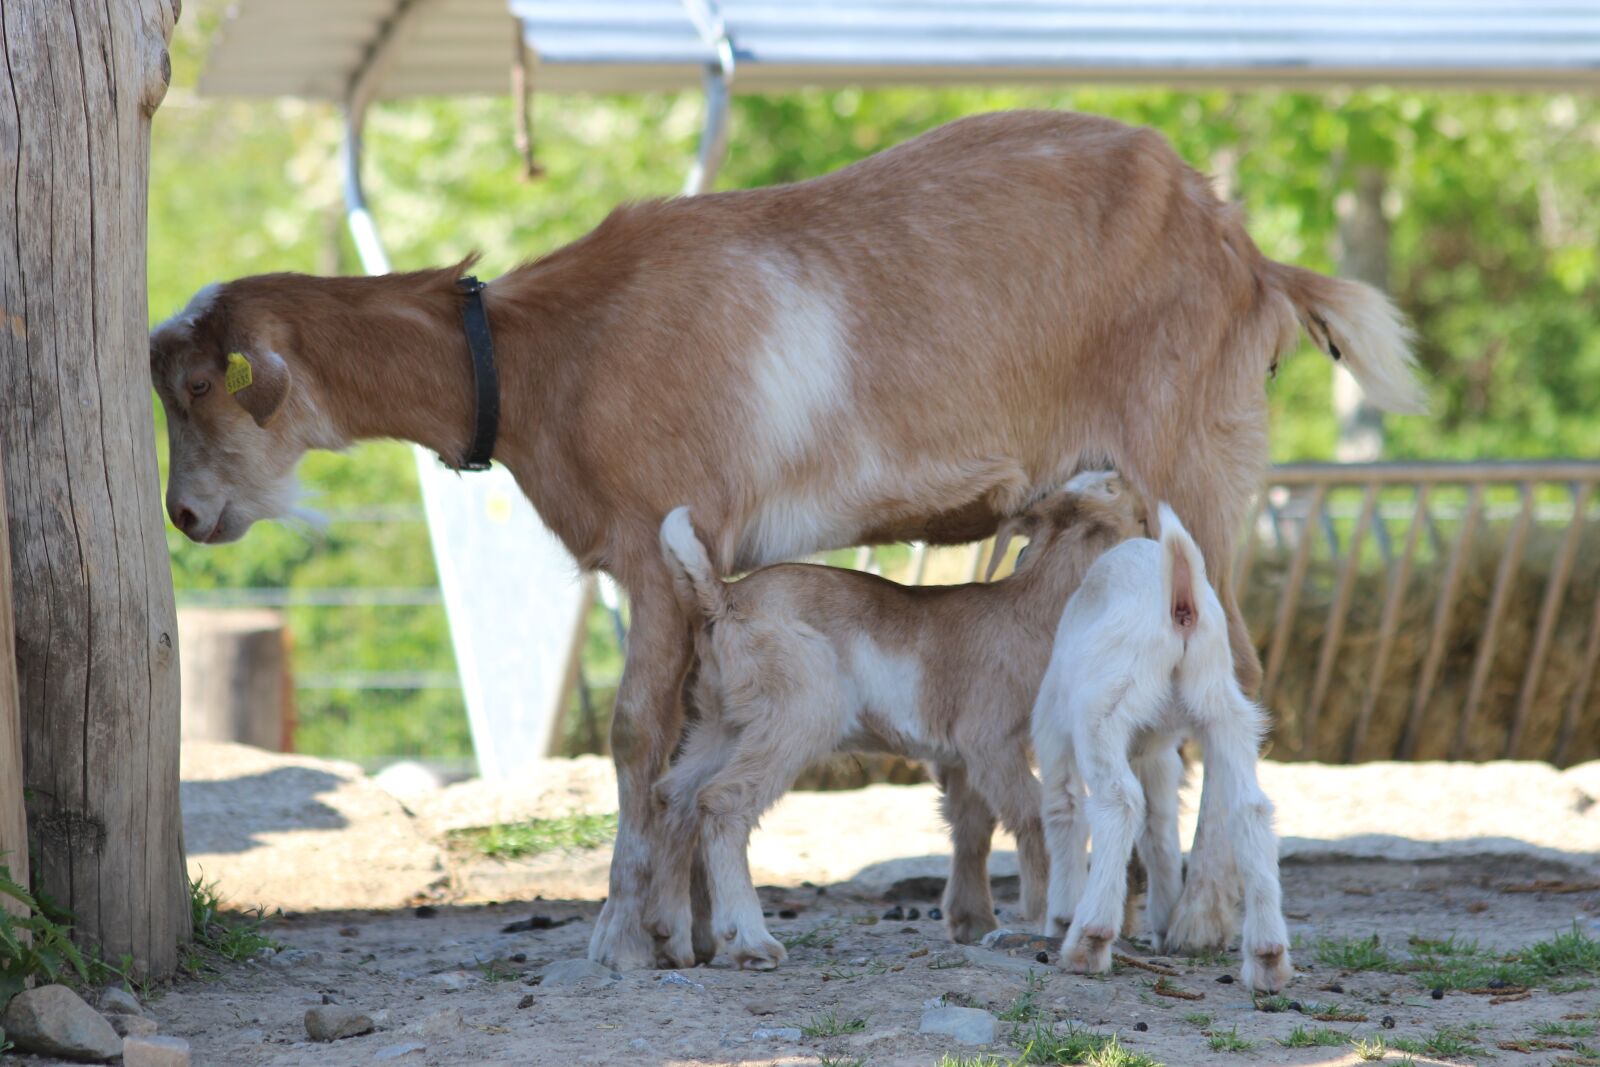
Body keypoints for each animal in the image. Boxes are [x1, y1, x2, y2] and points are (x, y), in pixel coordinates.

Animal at [650, 470, 1146, 968]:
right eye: (1111, 491)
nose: (1120, 475)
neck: (1028, 607)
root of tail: (724, 598)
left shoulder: (959, 758)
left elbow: (972, 825)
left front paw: (973, 923)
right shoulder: (991, 742)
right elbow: (1031, 814)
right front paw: (1048, 918)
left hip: (720, 723)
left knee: (676, 797)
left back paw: (670, 939)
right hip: (795, 717)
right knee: (723, 801)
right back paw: (752, 942)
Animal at [1031, 503, 1292, 993]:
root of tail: (1180, 597)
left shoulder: (1054, 733)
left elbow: (1063, 811)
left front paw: (1059, 918)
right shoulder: (1159, 752)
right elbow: (1161, 829)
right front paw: (1166, 918)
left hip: (1106, 708)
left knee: (1118, 802)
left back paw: (1088, 940)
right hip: (1224, 709)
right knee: (1249, 808)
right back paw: (1267, 957)